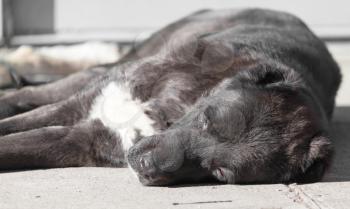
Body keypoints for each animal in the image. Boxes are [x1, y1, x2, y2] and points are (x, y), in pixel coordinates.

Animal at [0, 8, 340, 186]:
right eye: (206, 119)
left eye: (220, 172)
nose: (146, 164)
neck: (173, 109)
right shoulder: (92, 99)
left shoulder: (83, 140)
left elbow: (21, 143)